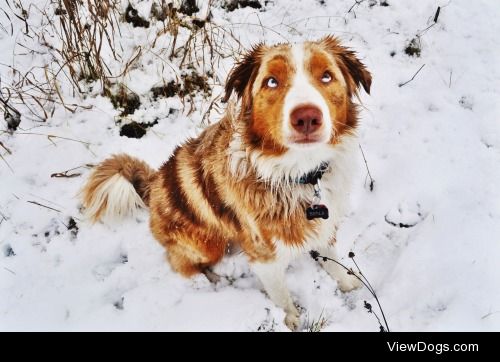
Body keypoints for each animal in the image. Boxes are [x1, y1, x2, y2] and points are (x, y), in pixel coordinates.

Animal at [81, 35, 372, 330]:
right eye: (271, 81)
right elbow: (281, 295)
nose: (307, 118)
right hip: (207, 244)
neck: (298, 173)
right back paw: (214, 280)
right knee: (181, 263)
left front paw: (347, 284)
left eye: (326, 76)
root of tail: (152, 184)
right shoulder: (264, 257)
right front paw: (290, 320)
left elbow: (332, 259)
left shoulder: (326, 224)